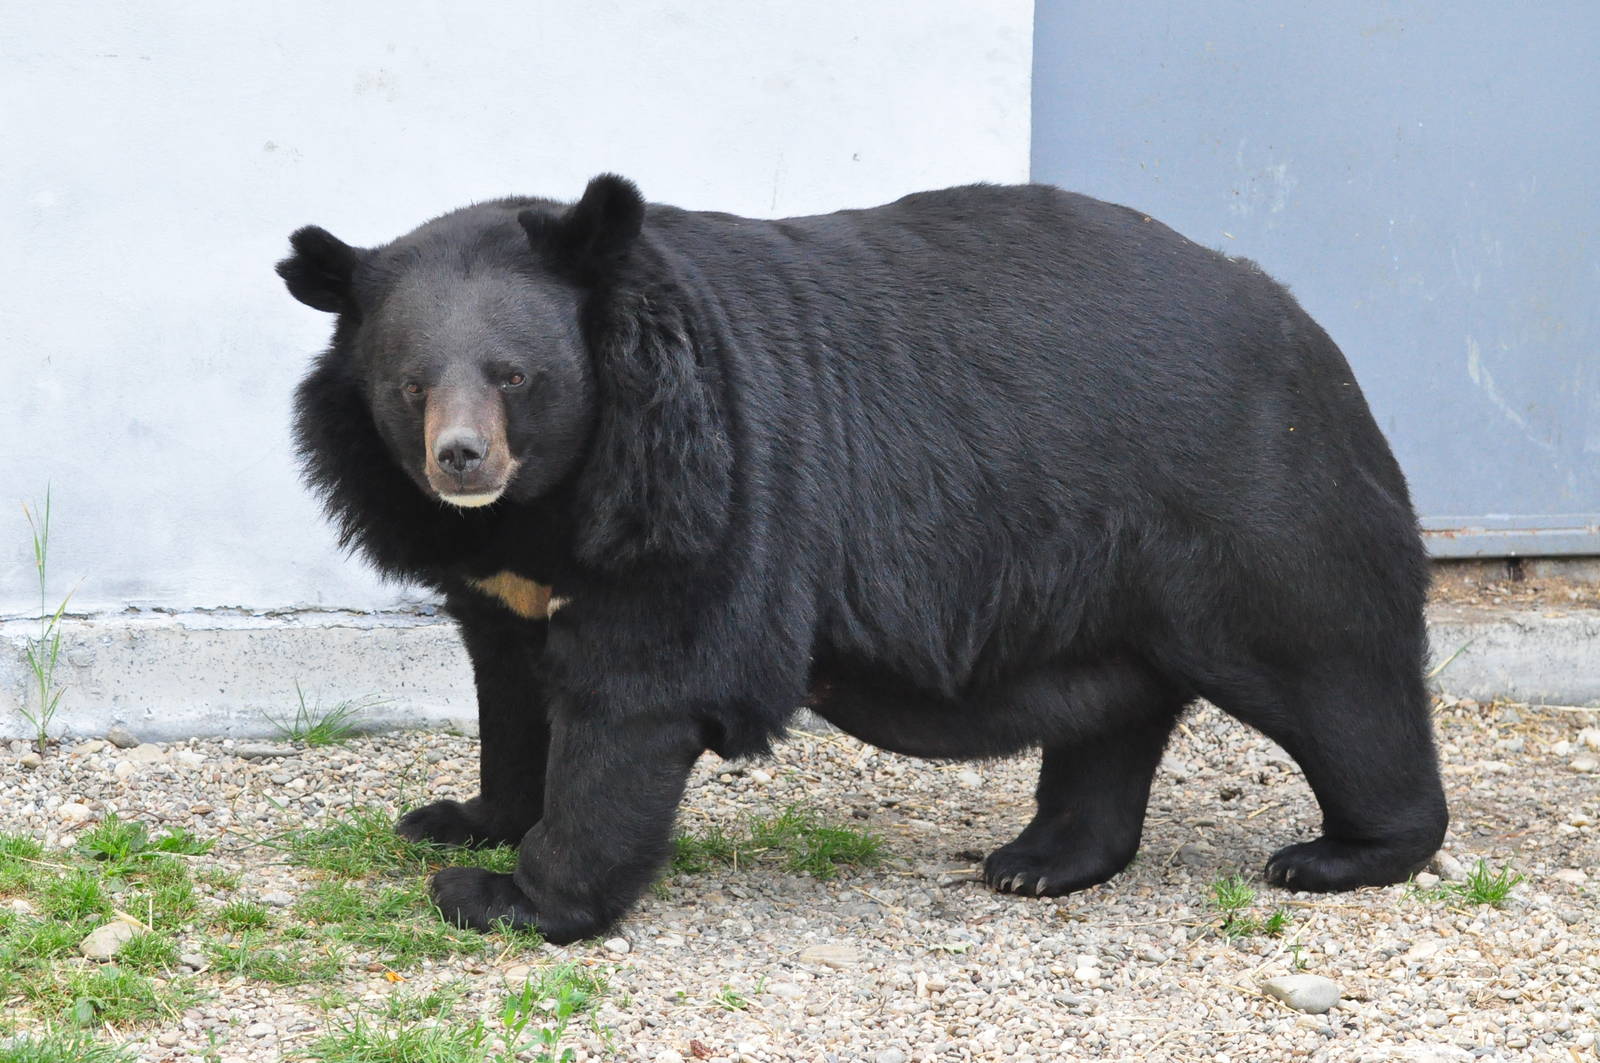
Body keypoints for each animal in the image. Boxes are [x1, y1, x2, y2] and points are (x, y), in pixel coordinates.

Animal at [279, 175, 1448, 944]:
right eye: (410, 385)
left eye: (514, 376)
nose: (462, 460)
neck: (546, 505)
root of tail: (1304, 324)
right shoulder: (497, 581)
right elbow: (513, 695)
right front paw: (458, 822)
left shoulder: (704, 502)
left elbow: (636, 699)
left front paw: (507, 897)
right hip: (1101, 568)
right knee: (1114, 708)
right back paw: (1039, 862)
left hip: (1254, 505)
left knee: (1331, 672)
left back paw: (1337, 854)